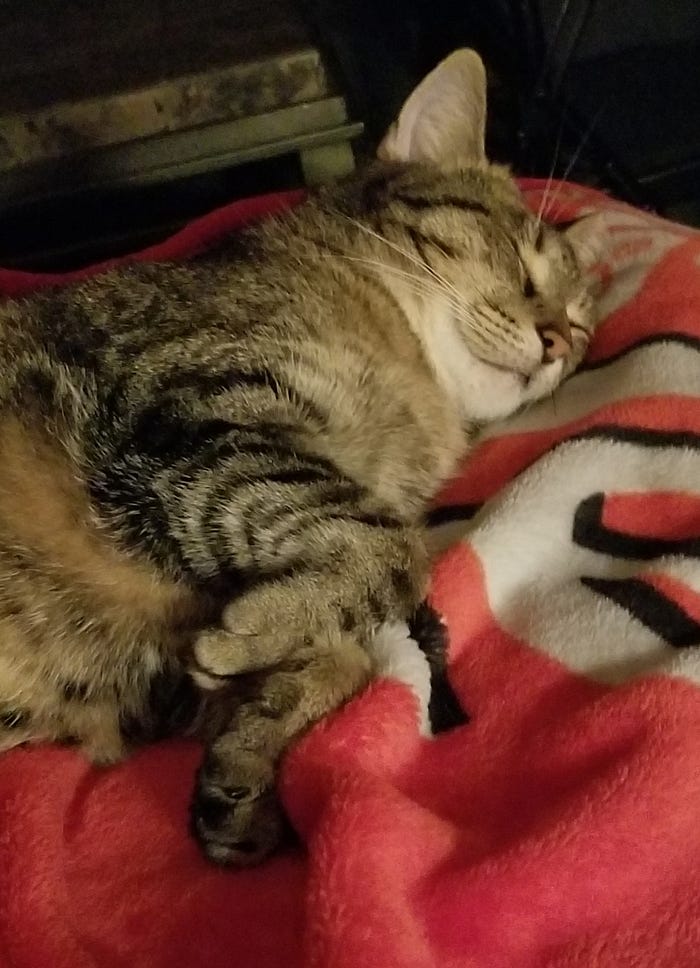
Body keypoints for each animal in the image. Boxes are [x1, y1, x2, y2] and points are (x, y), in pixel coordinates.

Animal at [0, 49, 600, 864]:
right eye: (520, 261)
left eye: (582, 324)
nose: (560, 343)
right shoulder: (187, 405)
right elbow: (390, 549)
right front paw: (262, 635)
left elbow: (343, 647)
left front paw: (252, 750)